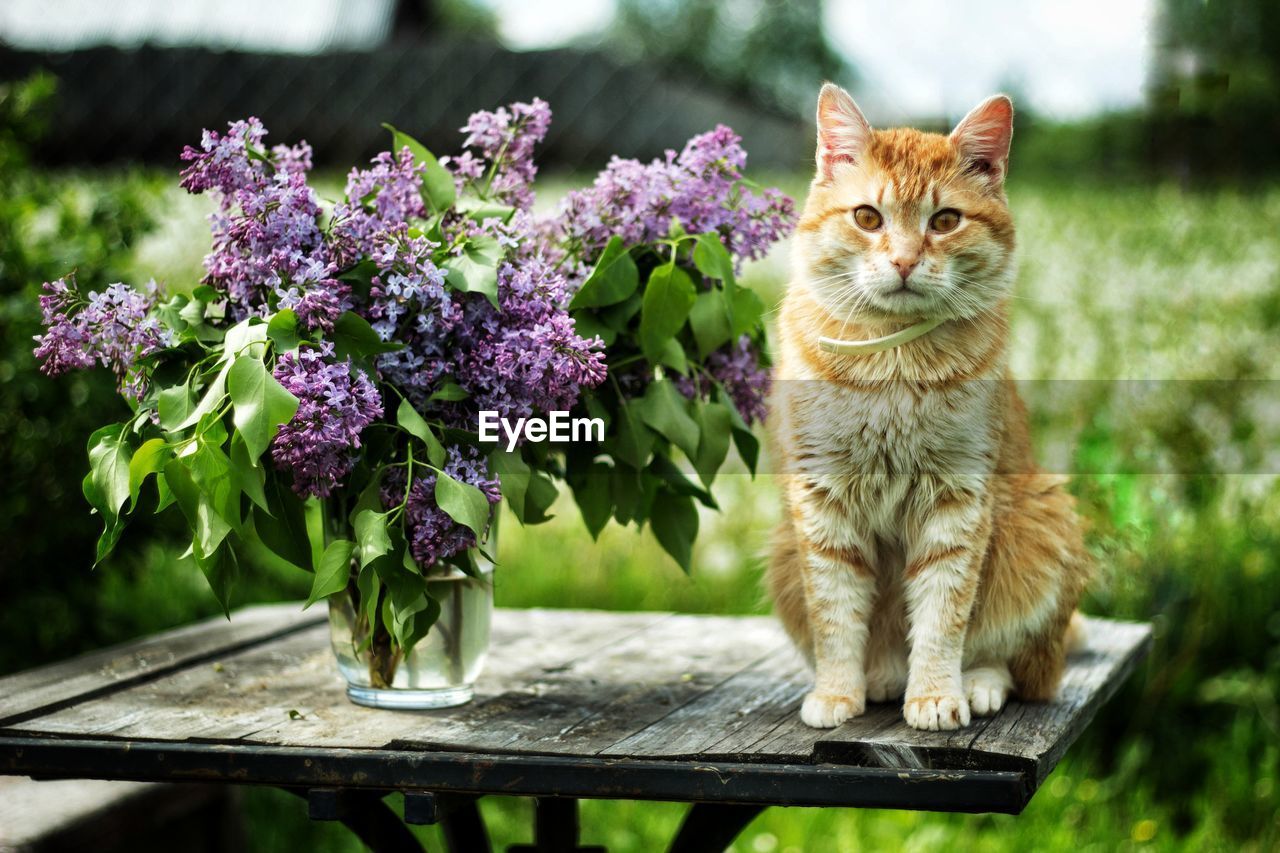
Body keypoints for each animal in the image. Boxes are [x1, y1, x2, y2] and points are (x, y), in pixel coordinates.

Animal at [768, 83, 1090, 727]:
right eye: (868, 217)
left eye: (944, 221)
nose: (904, 261)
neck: (893, 360)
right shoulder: (821, 505)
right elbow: (836, 617)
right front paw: (838, 692)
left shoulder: (958, 502)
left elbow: (945, 614)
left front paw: (937, 695)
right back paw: (882, 676)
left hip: (1041, 525)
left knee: (1022, 664)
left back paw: (977, 684)